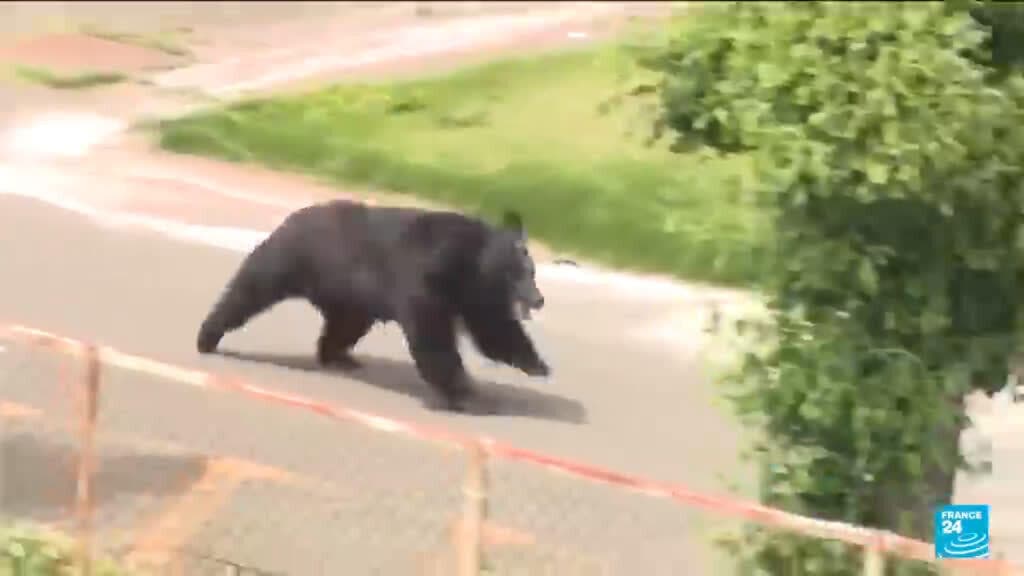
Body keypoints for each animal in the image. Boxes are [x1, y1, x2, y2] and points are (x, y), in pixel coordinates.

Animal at [195, 198, 550, 411]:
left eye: (532, 272)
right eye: (520, 273)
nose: (539, 299)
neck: (470, 264)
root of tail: (290, 218)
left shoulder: (473, 295)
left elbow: (493, 329)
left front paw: (537, 364)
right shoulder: (424, 276)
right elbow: (431, 334)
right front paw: (462, 392)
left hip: (350, 299)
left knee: (342, 328)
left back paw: (339, 358)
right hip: (288, 260)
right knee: (249, 290)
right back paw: (207, 336)